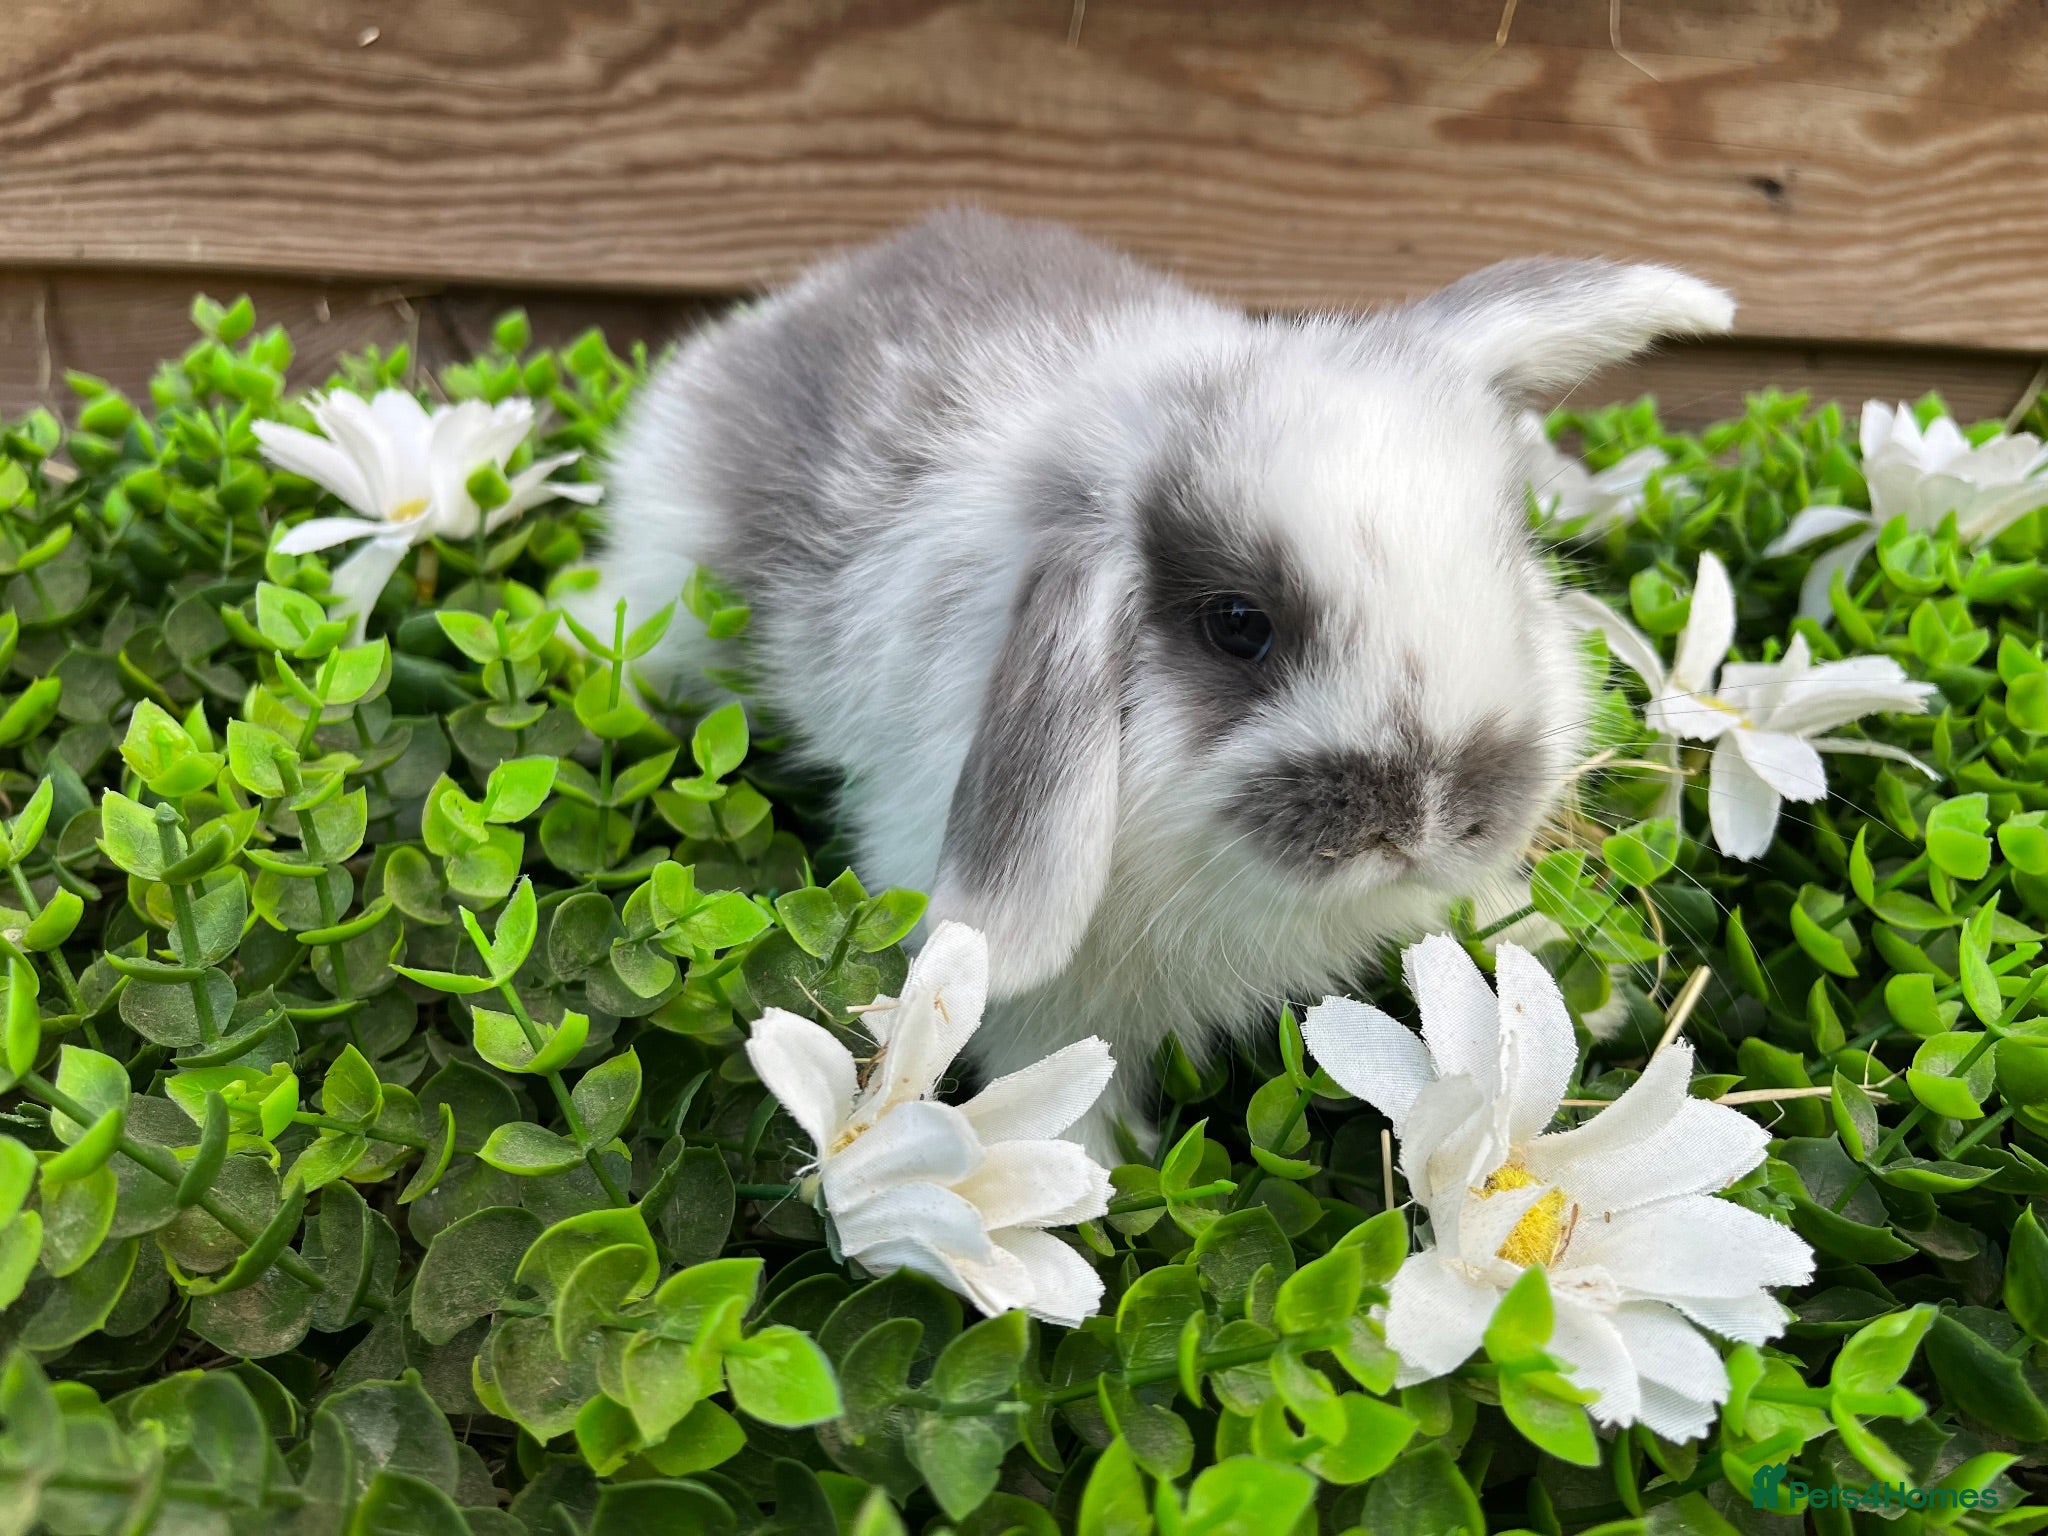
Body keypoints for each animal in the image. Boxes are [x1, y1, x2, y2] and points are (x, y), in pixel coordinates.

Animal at [591, 209, 1734, 1157]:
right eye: (1237, 626)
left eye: (1508, 558)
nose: (1430, 816)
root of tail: (811, 294)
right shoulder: (1049, 996)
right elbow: (1059, 1074)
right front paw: (1090, 1184)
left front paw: (1587, 996)